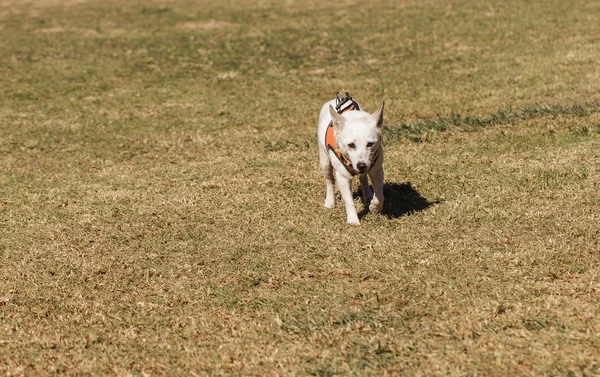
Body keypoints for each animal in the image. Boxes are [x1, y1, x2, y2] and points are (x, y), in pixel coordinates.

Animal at [318, 93, 384, 225]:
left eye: (370, 144)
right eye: (351, 145)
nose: (361, 165)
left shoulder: (377, 170)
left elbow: (380, 195)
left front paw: (374, 207)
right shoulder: (343, 177)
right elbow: (349, 201)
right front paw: (353, 220)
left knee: (363, 179)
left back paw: (368, 195)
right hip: (325, 161)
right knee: (330, 180)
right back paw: (329, 201)